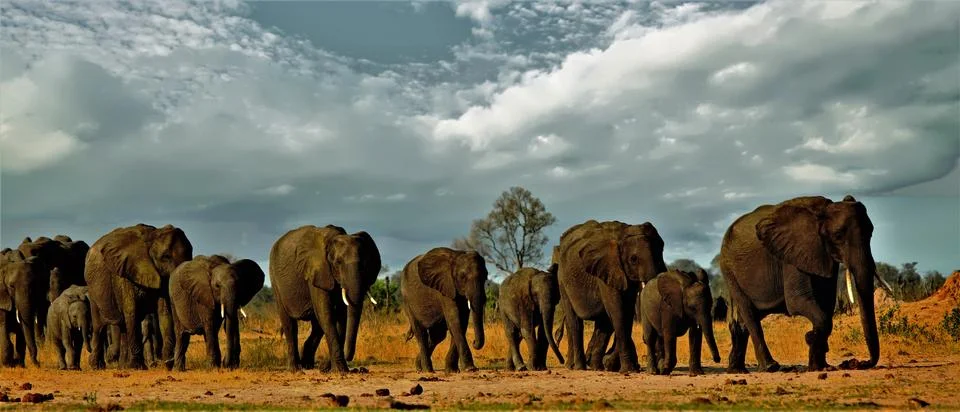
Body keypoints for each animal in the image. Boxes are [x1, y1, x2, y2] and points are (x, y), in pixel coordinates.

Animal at [85, 224, 193, 370]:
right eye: (166, 257)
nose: (169, 361)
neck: (153, 236)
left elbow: (164, 312)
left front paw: (167, 363)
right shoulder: (125, 273)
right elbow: (132, 312)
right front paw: (137, 367)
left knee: (123, 326)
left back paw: (123, 367)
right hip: (93, 289)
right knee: (99, 326)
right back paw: (97, 366)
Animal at [270, 225, 381, 372]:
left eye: (364, 264)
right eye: (338, 263)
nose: (324, 367)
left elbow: (341, 316)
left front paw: (332, 368)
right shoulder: (316, 271)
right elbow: (327, 314)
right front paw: (340, 370)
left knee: (317, 326)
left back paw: (308, 365)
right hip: (275, 280)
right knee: (290, 324)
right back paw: (296, 369)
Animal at [554, 220, 668, 373]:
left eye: (659, 254)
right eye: (633, 259)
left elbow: (627, 312)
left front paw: (616, 365)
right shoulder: (608, 269)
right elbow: (618, 311)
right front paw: (628, 369)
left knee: (604, 323)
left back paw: (596, 367)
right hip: (562, 280)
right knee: (575, 322)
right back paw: (579, 367)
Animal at [719, 195, 888, 373]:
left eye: (871, 232)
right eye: (838, 236)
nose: (858, 363)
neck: (823, 211)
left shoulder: (822, 253)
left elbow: (826, 302)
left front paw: (821, 365)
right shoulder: (791, 254)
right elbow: (798, 301)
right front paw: (811, 344)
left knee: (742, 322)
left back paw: (737, 370)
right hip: (729, 270)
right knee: (749, 313)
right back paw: (770, 367)